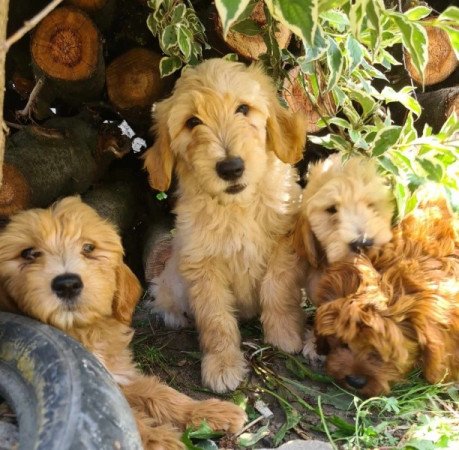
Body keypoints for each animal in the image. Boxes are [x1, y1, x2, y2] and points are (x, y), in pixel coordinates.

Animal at [0, 199, 248, 450]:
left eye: (88, 248)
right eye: (29, 253)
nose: (67, 284)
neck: (81, 331)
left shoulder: (119, 375)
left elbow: (158, 392)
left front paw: (207, 411)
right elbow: (128, 420)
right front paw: (164, 440)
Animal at [144, 59, 310, 394]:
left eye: (243, 109)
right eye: (192, 122)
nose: (231, 167)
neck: (237, 207)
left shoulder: (285, 239)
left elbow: (277, 287)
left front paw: (284, 334)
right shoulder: (201, 262)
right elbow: (215, 318)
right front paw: (222, 364)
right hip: (170, 280)